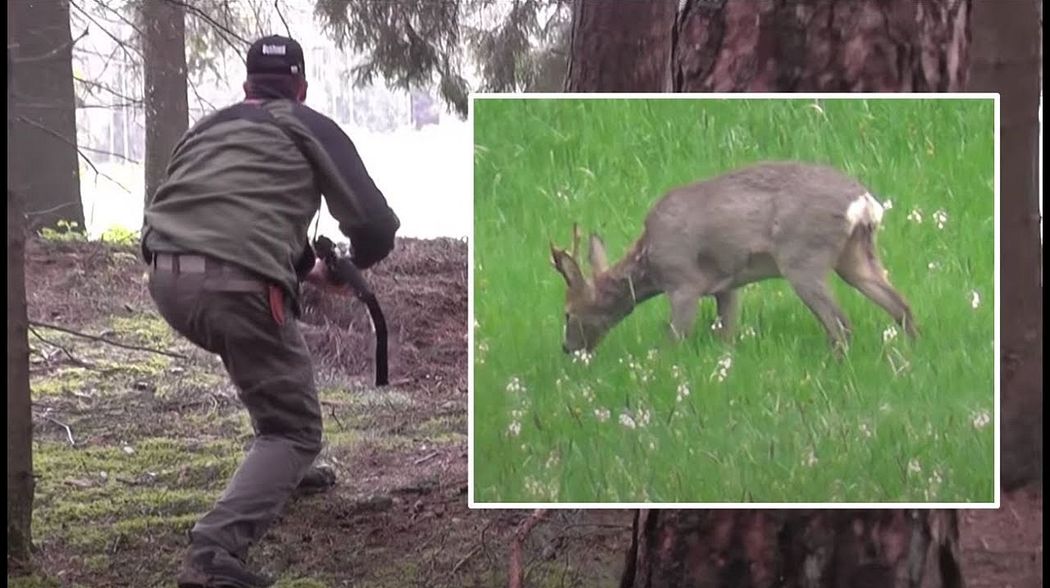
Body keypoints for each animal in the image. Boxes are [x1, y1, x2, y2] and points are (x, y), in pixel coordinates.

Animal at [550, 159, 919, 352]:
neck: (649, 263)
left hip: (803, 259)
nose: (568, 349)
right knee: (900, 305)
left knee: (841, 324)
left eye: (568, 313)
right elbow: (726, 333)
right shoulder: (726, 287)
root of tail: (864, 203)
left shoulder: (683, 281)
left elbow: (675, 338)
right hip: (855, 256)